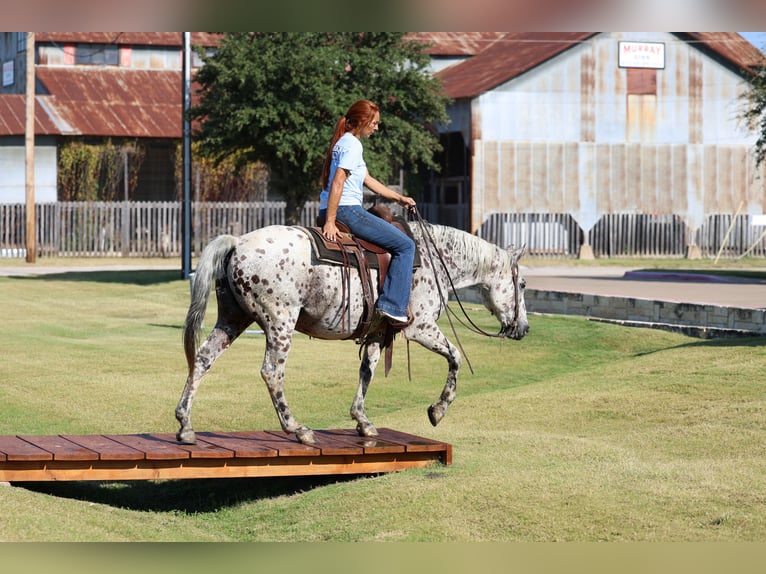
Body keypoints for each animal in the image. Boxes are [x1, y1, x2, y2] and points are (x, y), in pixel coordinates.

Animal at [175, 219, 529, 445]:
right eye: (523, 284)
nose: (524, 328)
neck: (435, 257)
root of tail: (238, 243)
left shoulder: (376, 333)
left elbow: (366, 371)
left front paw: (362, 421)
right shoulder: (422, 328)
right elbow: (455, 357)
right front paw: (438, 410)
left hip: (233, 318)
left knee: (202, 359)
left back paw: (185, 426)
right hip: (279, 323)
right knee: (271, 372)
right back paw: (297, 429)